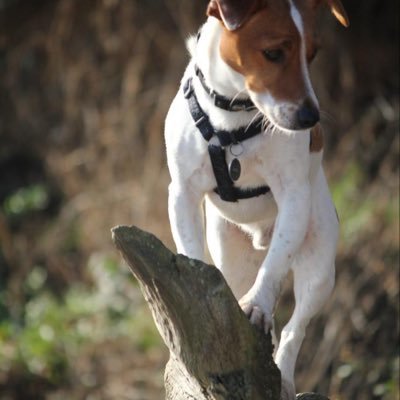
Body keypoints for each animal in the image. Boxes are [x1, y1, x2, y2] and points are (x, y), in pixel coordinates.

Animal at [164, 1, 348, 398]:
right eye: (273, 53)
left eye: (312, 54)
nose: (311, 118)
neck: (232, 121)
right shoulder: (182, 193)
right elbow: (191, 251)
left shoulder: (293, 196)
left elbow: (275, 266)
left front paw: (259, 304)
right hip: (230, 252)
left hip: (319, 267)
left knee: (295, 328)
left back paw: (286, 374)